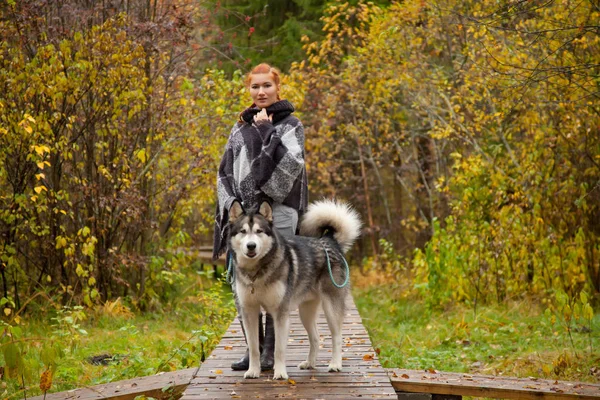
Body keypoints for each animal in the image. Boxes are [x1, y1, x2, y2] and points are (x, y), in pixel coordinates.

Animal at [229, 198, 360, 380]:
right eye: (243, 231)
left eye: (259, 231)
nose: (251, 246)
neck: (256, 272)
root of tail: (329, 241)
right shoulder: (249, 311)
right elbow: (254, 347)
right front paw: (253, 371)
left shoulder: (280, 312)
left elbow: (279, 349)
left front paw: (280, 373)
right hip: (305, 312)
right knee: (315, 337)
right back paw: (310, 363)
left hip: (331, 308)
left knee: (337, 337)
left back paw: (335, 364)